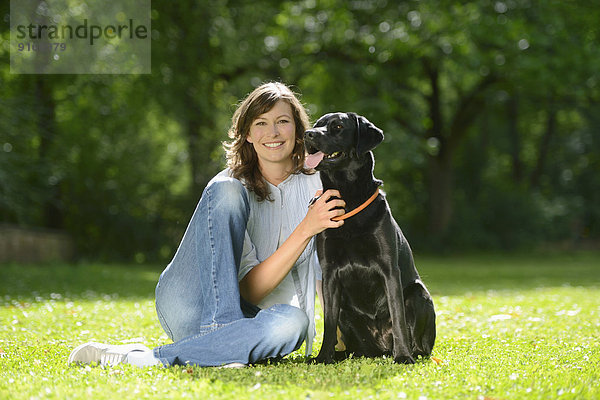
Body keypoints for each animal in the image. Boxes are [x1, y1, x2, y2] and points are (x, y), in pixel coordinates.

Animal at [304, 111, 436, 364]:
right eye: (317, 125)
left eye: (337, 126)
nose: (307, 134)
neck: (348, 199)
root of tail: (380, 348)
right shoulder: (329, 272)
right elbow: (328, 322)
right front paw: (324, 357)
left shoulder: (389, 269)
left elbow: (398, 316)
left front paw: (402, 356)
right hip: (347, 311)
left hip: (418, 294)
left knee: (418, 342)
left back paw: (409, 352)